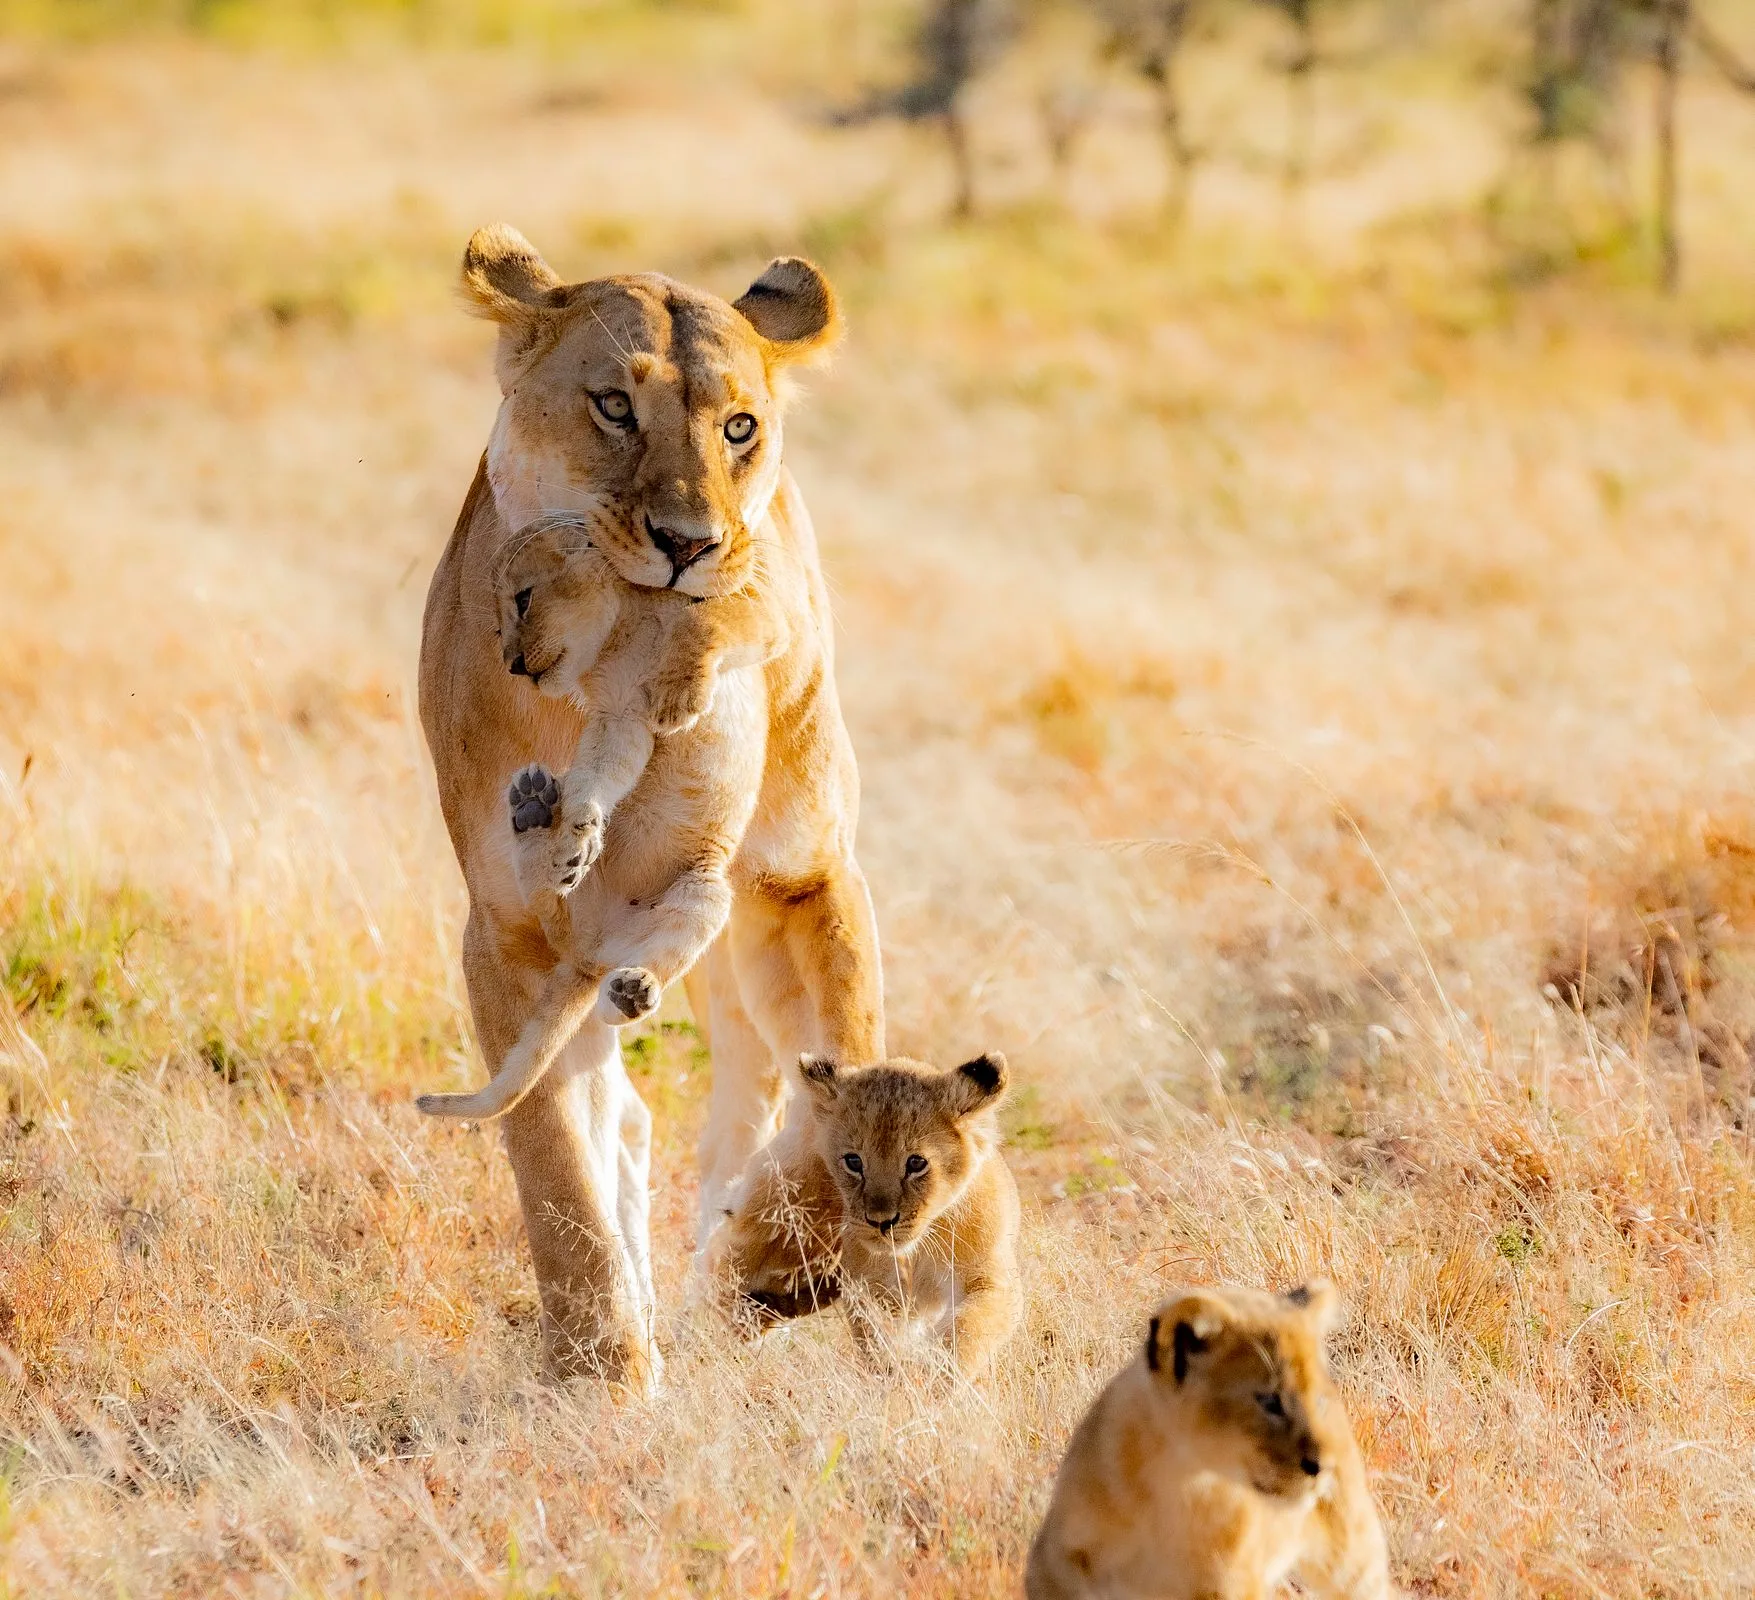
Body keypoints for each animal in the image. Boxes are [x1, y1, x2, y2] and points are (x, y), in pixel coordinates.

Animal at [414, 513, 786, 1122]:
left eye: (522, 598)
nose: (513, 664)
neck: (622, 637)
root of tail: (588, 955)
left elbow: (713, 627)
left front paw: (681, 689)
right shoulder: (620, 718)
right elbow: (601, 772)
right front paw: (581, 827)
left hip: (704, 892)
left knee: (636, 985)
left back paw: (635, 988)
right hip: (579, 916)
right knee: (545, 901)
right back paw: (541, 820)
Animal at [713, 1052, 1022, 1376]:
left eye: (916, 1163)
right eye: (853, 1161)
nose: (880, 1222)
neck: (917, 1250)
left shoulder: (990, 1280)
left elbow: (968, 1328)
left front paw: (937, 1374)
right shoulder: (872, 1291)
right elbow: (878, 1341)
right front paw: (896, 1377)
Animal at [1025, 1281, 1395, 1600]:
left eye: (1318, 1399)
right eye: (1270, 1401)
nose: (1324, 1466)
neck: (1179, 1482)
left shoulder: (1231, 1585)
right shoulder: (1053, 1566)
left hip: (1353, 1559)